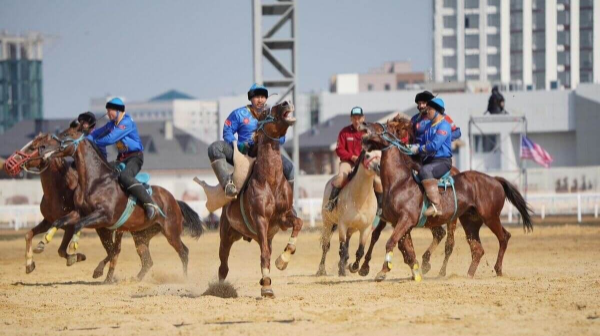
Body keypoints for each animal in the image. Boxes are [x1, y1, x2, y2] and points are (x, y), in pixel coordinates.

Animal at [32, 124, 205, 280]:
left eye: (66, 134)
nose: (42, 147)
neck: (96, 182)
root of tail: (174, 200)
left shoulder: (104, 216)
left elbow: (79, 225)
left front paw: (73, 247)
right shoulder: (79, 212)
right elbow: (60, 221)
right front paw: (42, 242)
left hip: (171, 232)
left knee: (183, 252)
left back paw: (185, 279)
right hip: (141, 236)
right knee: (147, 261)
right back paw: (134, 279)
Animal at [358, 117, 532, 280]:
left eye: (382, 126)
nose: (364, 124)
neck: (399, 181)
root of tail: (495, 180)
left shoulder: (406, 220)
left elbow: (392, 242)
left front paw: (383, 271)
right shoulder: (399, 223)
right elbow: (406, 249)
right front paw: (415, 271)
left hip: (490, 217)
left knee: (503, 237)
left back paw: (498, 269)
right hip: (470, 222)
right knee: (477, 249)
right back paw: (468, 274)